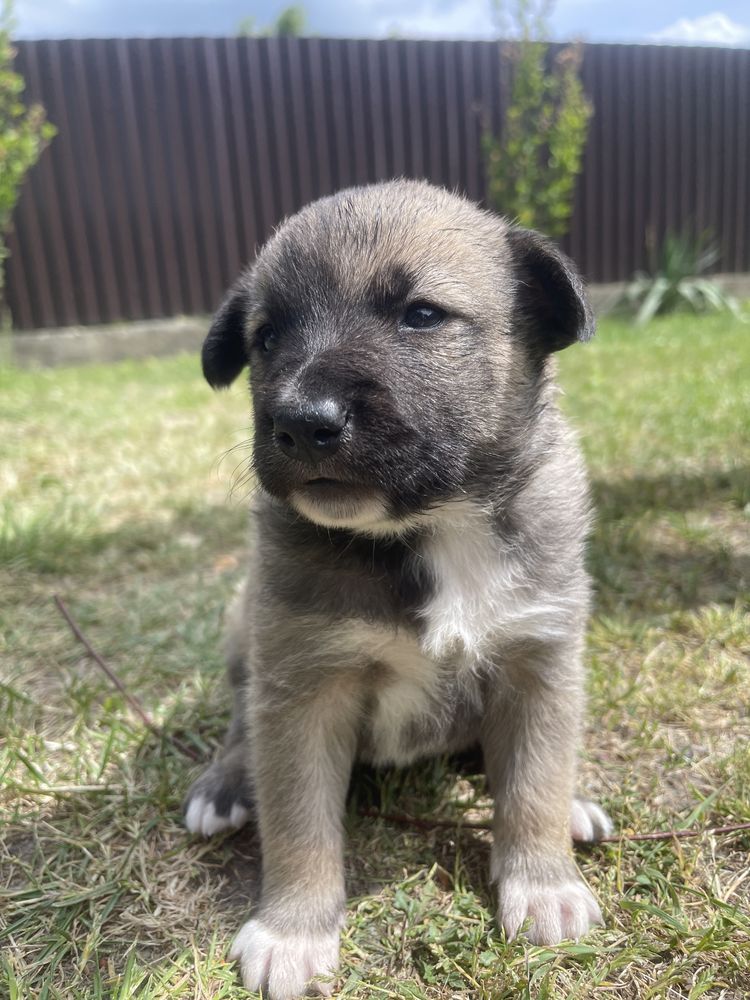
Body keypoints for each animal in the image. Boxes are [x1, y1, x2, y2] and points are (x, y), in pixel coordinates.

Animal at [185, 182, 612, 1000]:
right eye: (265, 339)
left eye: (421, 314)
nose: (300, 422)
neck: (434, 526)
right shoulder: (304, 686)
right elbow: (299, 823)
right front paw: (293, 930)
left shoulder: (539, 663)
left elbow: (533, 785)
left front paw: (544, 883)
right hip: (244, 633)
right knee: (240, 722)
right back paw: (225, 783)